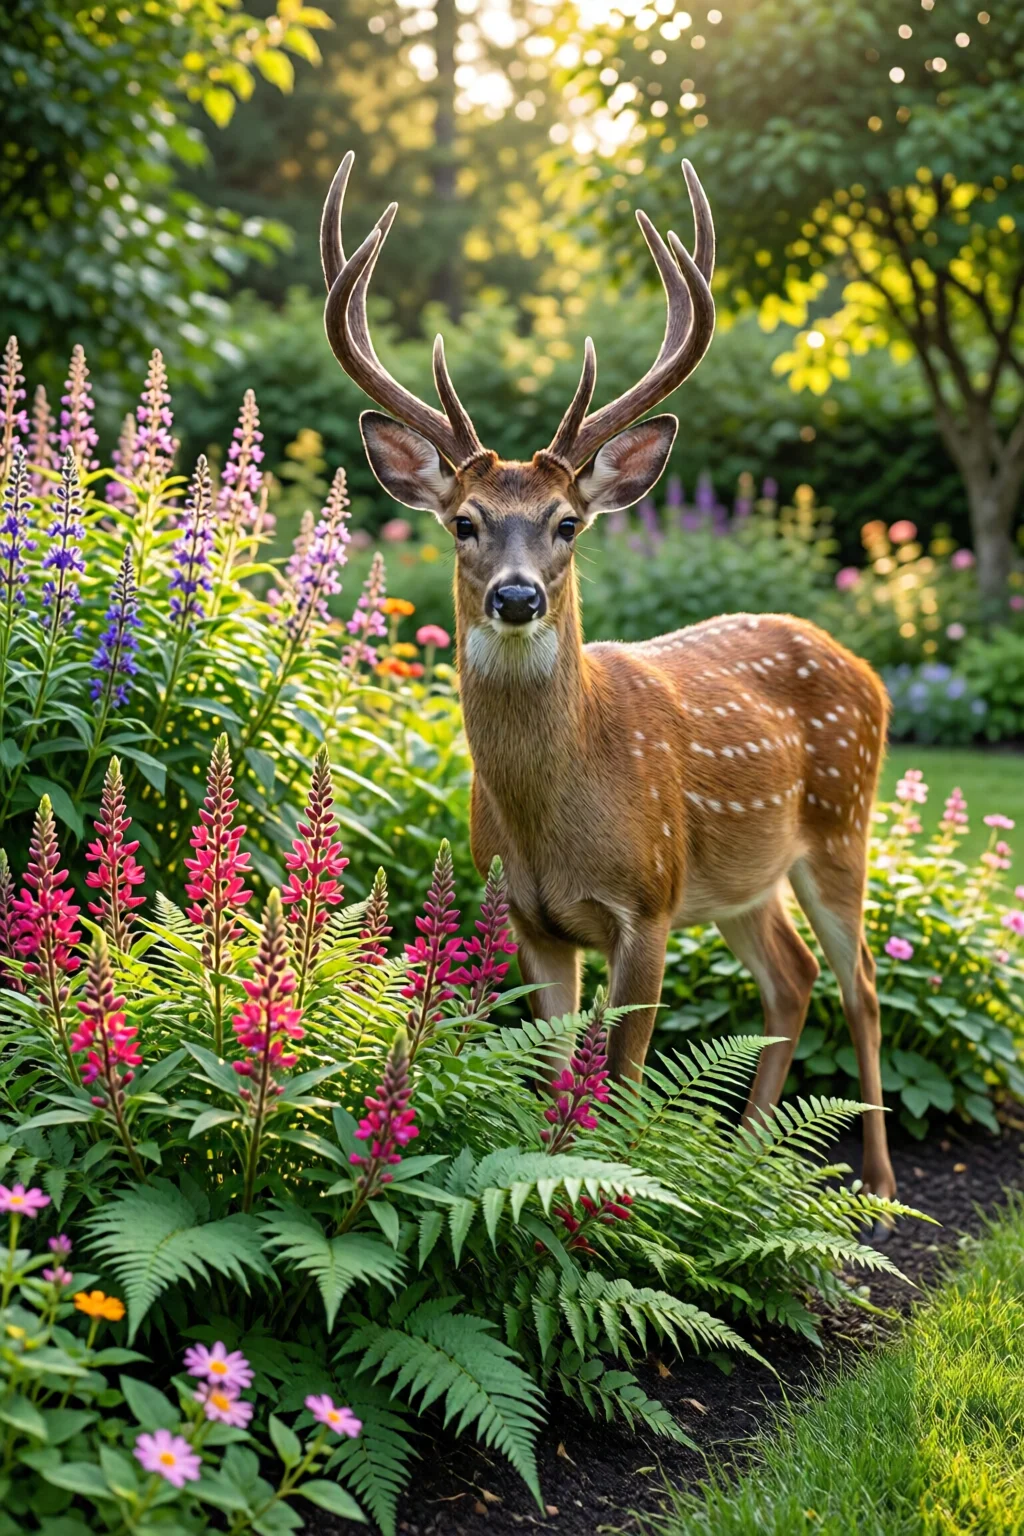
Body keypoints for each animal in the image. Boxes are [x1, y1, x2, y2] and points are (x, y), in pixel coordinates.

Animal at [317, 151, 897, 1205]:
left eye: (566, 522)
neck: (557, 816)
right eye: (462, 522)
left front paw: (621, 1202)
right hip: (744, 880)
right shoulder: (531, 917)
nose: (513, 596)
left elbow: (621, 1079)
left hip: (842, 822)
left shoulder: (650, 900)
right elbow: (557, 1073)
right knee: (790, 978)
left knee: (861, 982)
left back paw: (872, 1182)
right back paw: (743, 1157)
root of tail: (861, 665)